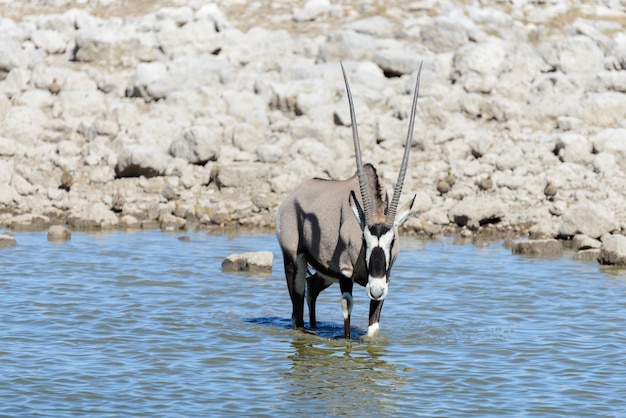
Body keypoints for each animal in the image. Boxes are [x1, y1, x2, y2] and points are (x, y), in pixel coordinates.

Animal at [276, 61, 422, 340]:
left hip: (325, 272)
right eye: (364, 239)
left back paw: (315, 327)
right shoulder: (345, 273)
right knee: (297, 310)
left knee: (312, 287)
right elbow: (346, 315)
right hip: (294, 260)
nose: (375, 290)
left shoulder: (384, 278)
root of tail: (292, 197)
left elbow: (372, 329)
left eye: (392, 241)